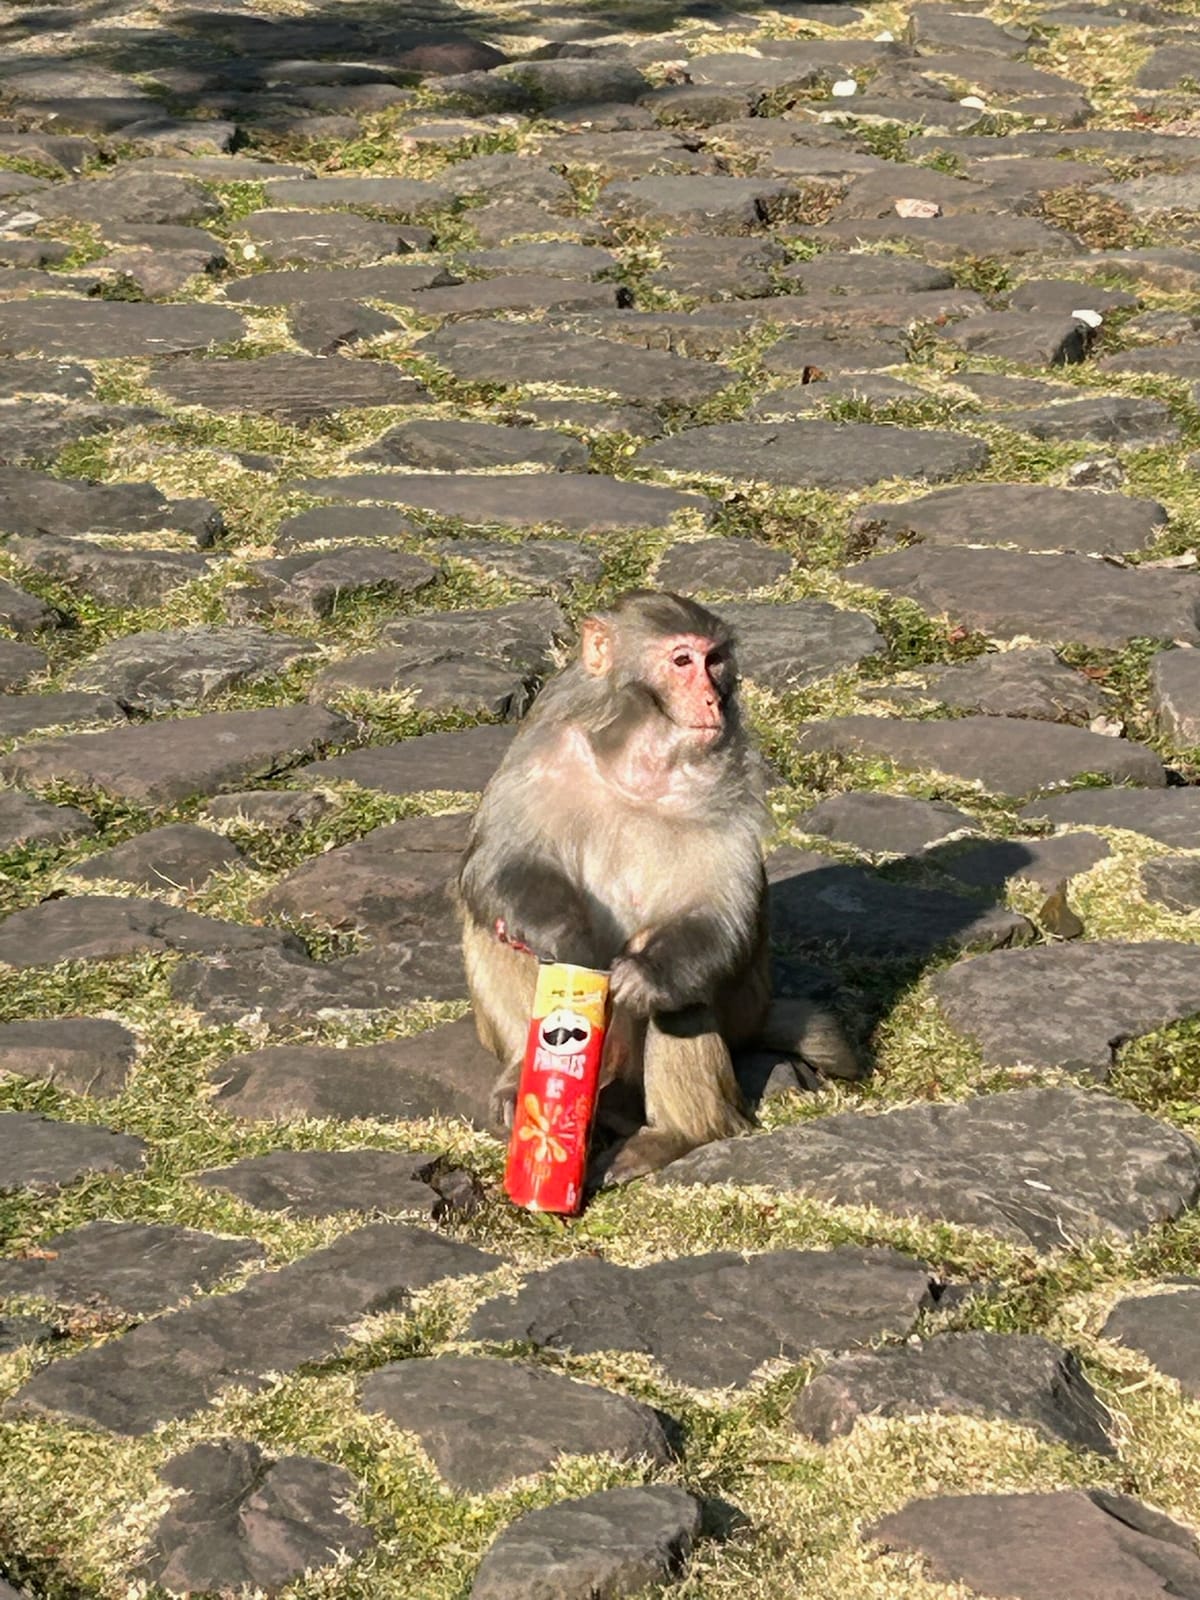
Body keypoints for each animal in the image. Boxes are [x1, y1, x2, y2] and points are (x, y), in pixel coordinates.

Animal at [455, 588, 860, 1186]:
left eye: (715, 660)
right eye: (682, 661)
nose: (712, 699)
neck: (640, 757)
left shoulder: (729, 774)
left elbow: (717, 910)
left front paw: (644, 977)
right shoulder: (543, 746)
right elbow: (498, 863)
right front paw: (565, 942)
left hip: (733, 1016)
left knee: (683, 996)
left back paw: (675, 1133)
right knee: (494, 927)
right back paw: (517, 1076)